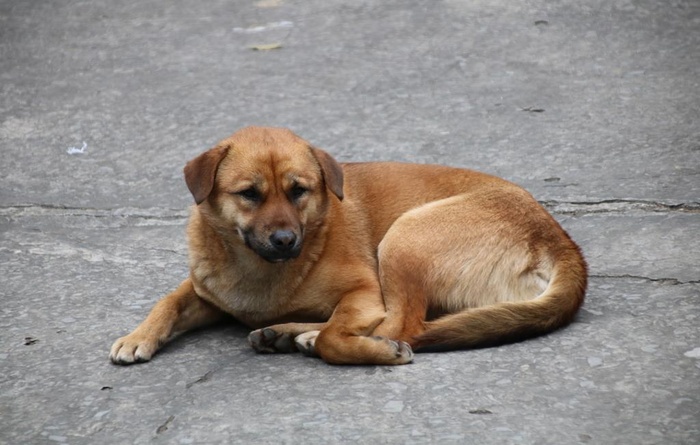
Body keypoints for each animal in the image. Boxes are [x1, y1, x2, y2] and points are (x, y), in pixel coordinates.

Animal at [109, 125, 588, 364]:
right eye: (249, 194)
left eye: (298, 191)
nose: (285, 240)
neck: (261, 271)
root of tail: (559, 237)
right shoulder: (204, 292)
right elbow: (169, 301)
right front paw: (139, 336)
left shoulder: (364, 291)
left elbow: (339, 334)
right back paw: (287, 333)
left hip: (403, 239)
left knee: (403, 325)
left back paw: (308, 337)